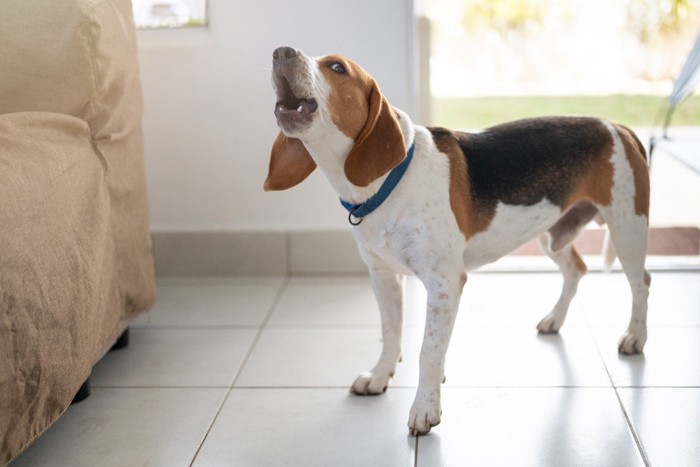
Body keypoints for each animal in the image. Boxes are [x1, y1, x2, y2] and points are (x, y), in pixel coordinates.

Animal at [264, 46, 652, 436]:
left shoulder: (444, 283)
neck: (388, 181)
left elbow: (427, 351)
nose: (282, 51)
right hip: (552, 233)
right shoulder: (384, 278)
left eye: (337, 67)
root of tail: (617, 126)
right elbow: (391, 334)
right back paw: (554, 319)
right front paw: (380, 376)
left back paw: (635, 337)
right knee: (576, 269)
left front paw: (424, 409)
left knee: (641, 282)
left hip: (627, 229)